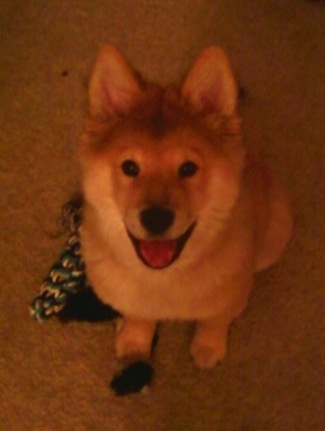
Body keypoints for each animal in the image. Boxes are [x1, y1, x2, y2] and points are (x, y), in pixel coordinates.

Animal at [78, 44, 292, 372]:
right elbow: (138, 315)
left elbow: (214, 320)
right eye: (129, 167)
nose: (155, 218)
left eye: (188, 168)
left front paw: (208, 347)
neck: (162, 279)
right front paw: (134, 341)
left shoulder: (230, 296)